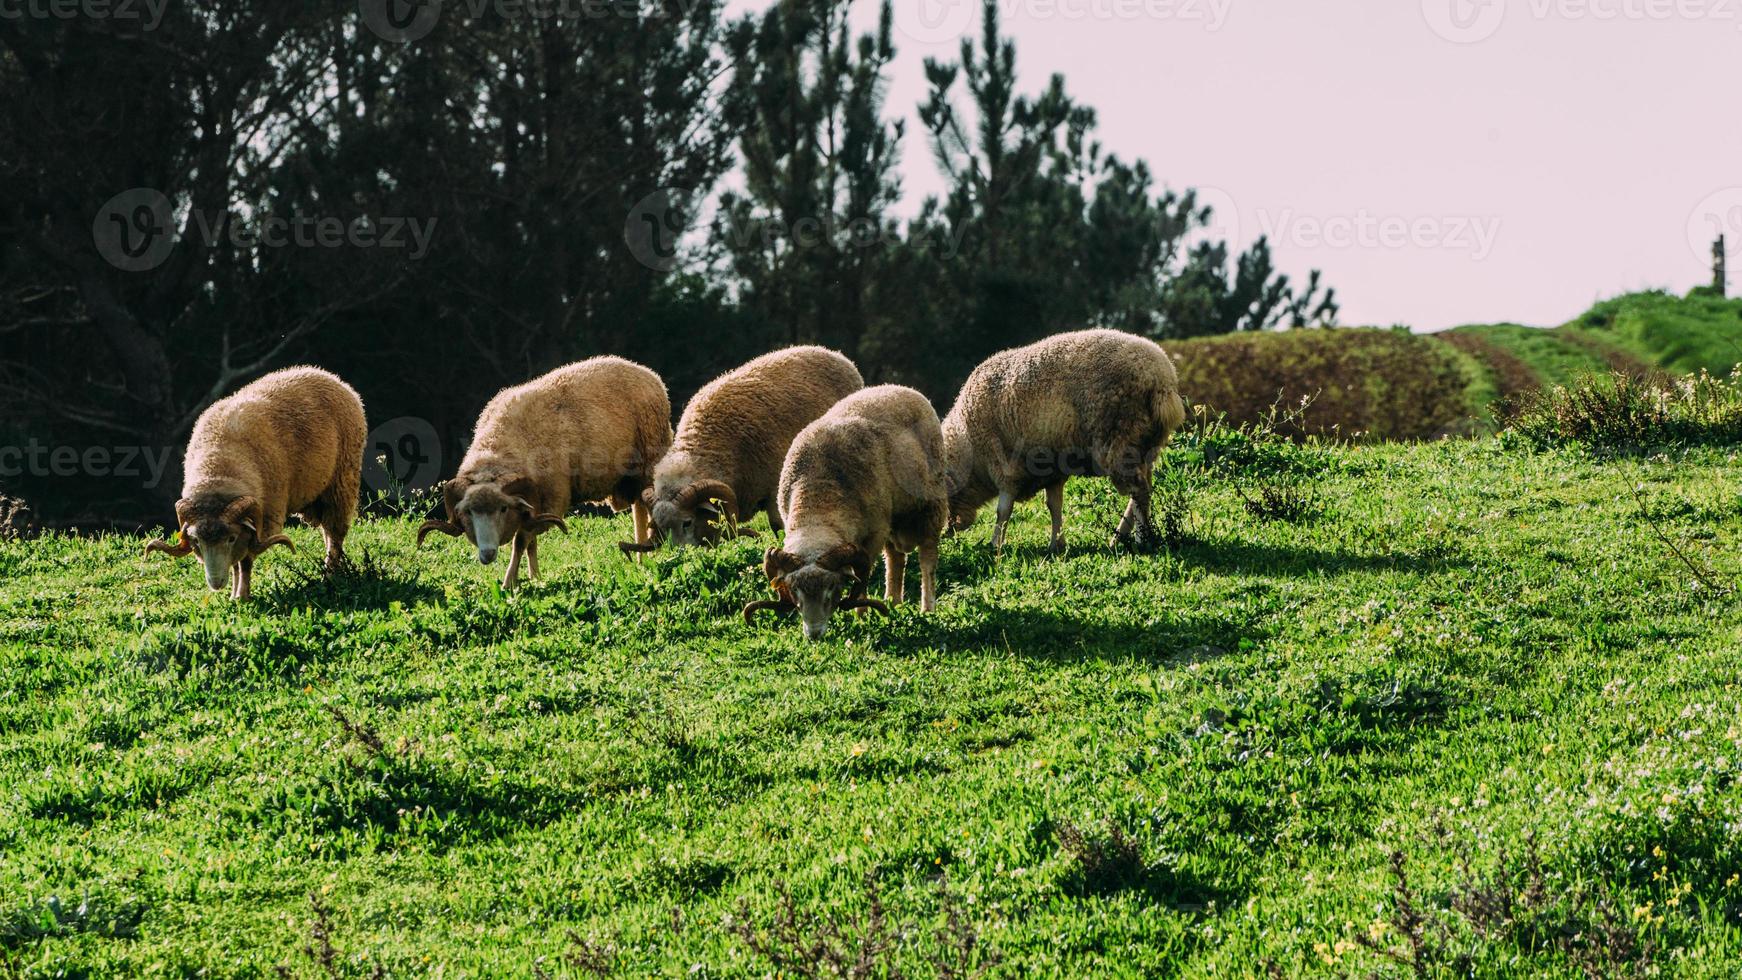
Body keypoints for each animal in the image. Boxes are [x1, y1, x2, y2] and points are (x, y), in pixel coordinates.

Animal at [142, 365, 364, 602]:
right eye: (196, 541)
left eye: (230, 538)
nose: (216, 583)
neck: (218, 468)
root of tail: (327, 375)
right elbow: (234, 565)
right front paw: (233, 595)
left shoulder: (261, 522)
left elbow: (245, 561)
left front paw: (243, 596)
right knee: (327, 531)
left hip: (342, 482)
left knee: (335, 533)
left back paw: (329, 575)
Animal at [418, 358, 668, 591]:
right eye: (469, 512)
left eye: (503, 509)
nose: (487, 554)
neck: (503, 445)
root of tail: (646, 372)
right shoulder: (533, 503)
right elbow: (530, 544)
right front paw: (534, 577)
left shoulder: (551, 502)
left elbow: (521, 540)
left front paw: (509, 582)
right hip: (632, 477)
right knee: (639, 509)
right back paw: (641, 561)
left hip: (649, 461)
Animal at [620, 346, 864, 560]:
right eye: (661, 528)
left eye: (687, 522)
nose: (677, 557)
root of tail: (835, 355)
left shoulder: (773, 490)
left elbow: (778, 527)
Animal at [742, 382, 947, 644]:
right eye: (795, 591)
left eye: (831, 588)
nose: (814, 634)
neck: (818, 497)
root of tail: (899, 387)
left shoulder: (873, 535)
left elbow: (862, 579)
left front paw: (861, 616)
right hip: (892, 518)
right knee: (895, 559)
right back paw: (893, 603)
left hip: (931, 507)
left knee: (927, 559)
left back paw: (927, 609)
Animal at [947, 328, 1191, 557]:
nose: (948, 531)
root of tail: (1163, 379)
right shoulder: (1052, 470)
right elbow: (1054, 505)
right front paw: (1057, 544)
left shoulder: (1004, 465)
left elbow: (1003, 510)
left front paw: (995, 545)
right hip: (1145, 444)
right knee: (1143, 488)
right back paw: (1118, 539)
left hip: (1119, 439)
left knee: (1139, 491)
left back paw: (1142, 539)